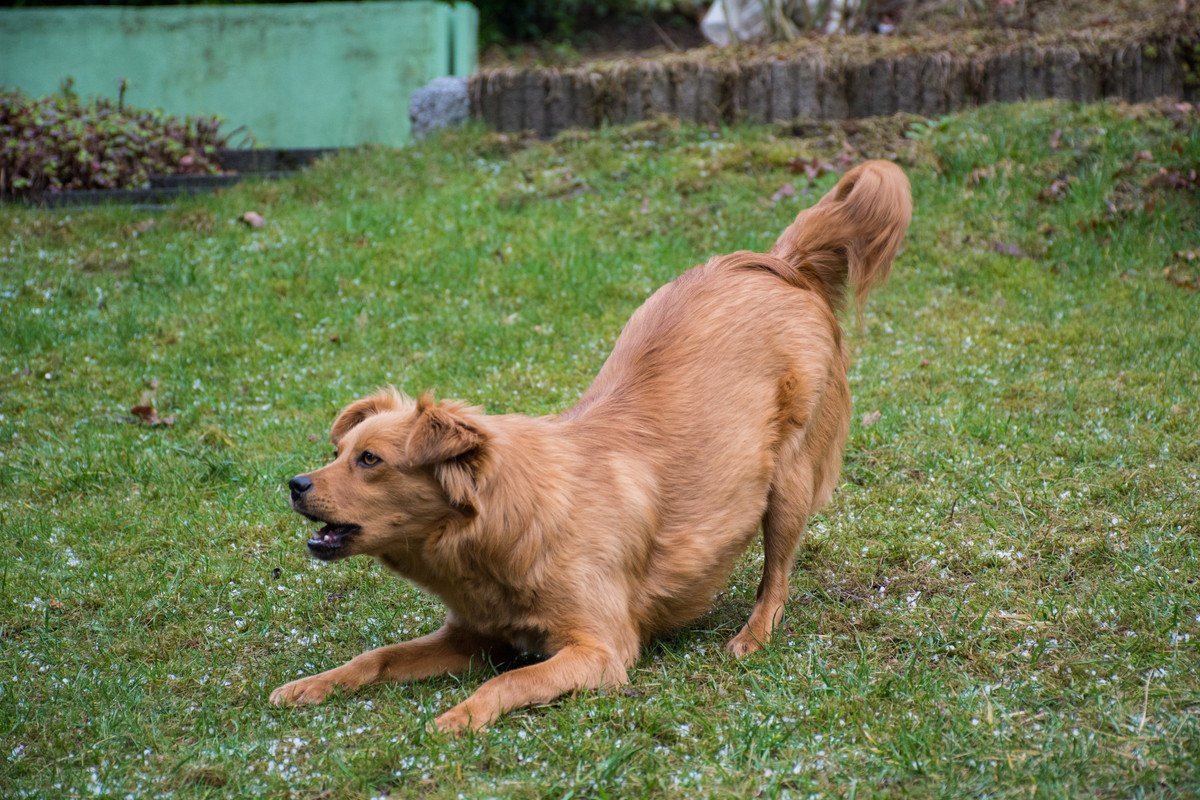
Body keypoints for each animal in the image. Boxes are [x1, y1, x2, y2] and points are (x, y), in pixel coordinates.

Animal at [272, 160, 907, 734]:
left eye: (370, 460)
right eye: (337, 453)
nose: (294, 484)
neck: (511, 519)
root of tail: (779, 264)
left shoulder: (600, 650)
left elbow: (511, 680)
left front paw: (462, 715)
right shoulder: (471, 637)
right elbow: (377, 657)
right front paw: (313, 684)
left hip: (789, 480)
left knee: (776, 576)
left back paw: (753, 633)